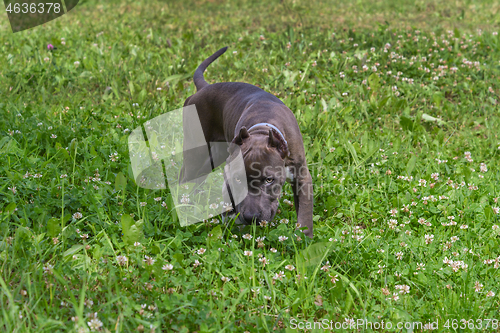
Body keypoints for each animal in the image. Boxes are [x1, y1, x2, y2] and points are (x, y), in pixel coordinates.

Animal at [180, 47, 312, 239]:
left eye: (269, 180)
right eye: (238, 179)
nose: (251, 217)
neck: (263, 129)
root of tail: (204, 87)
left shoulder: (302, 175)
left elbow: (305, 212)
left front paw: (304, 237)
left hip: (214, 156)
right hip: (196, 151)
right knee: (184, 177)